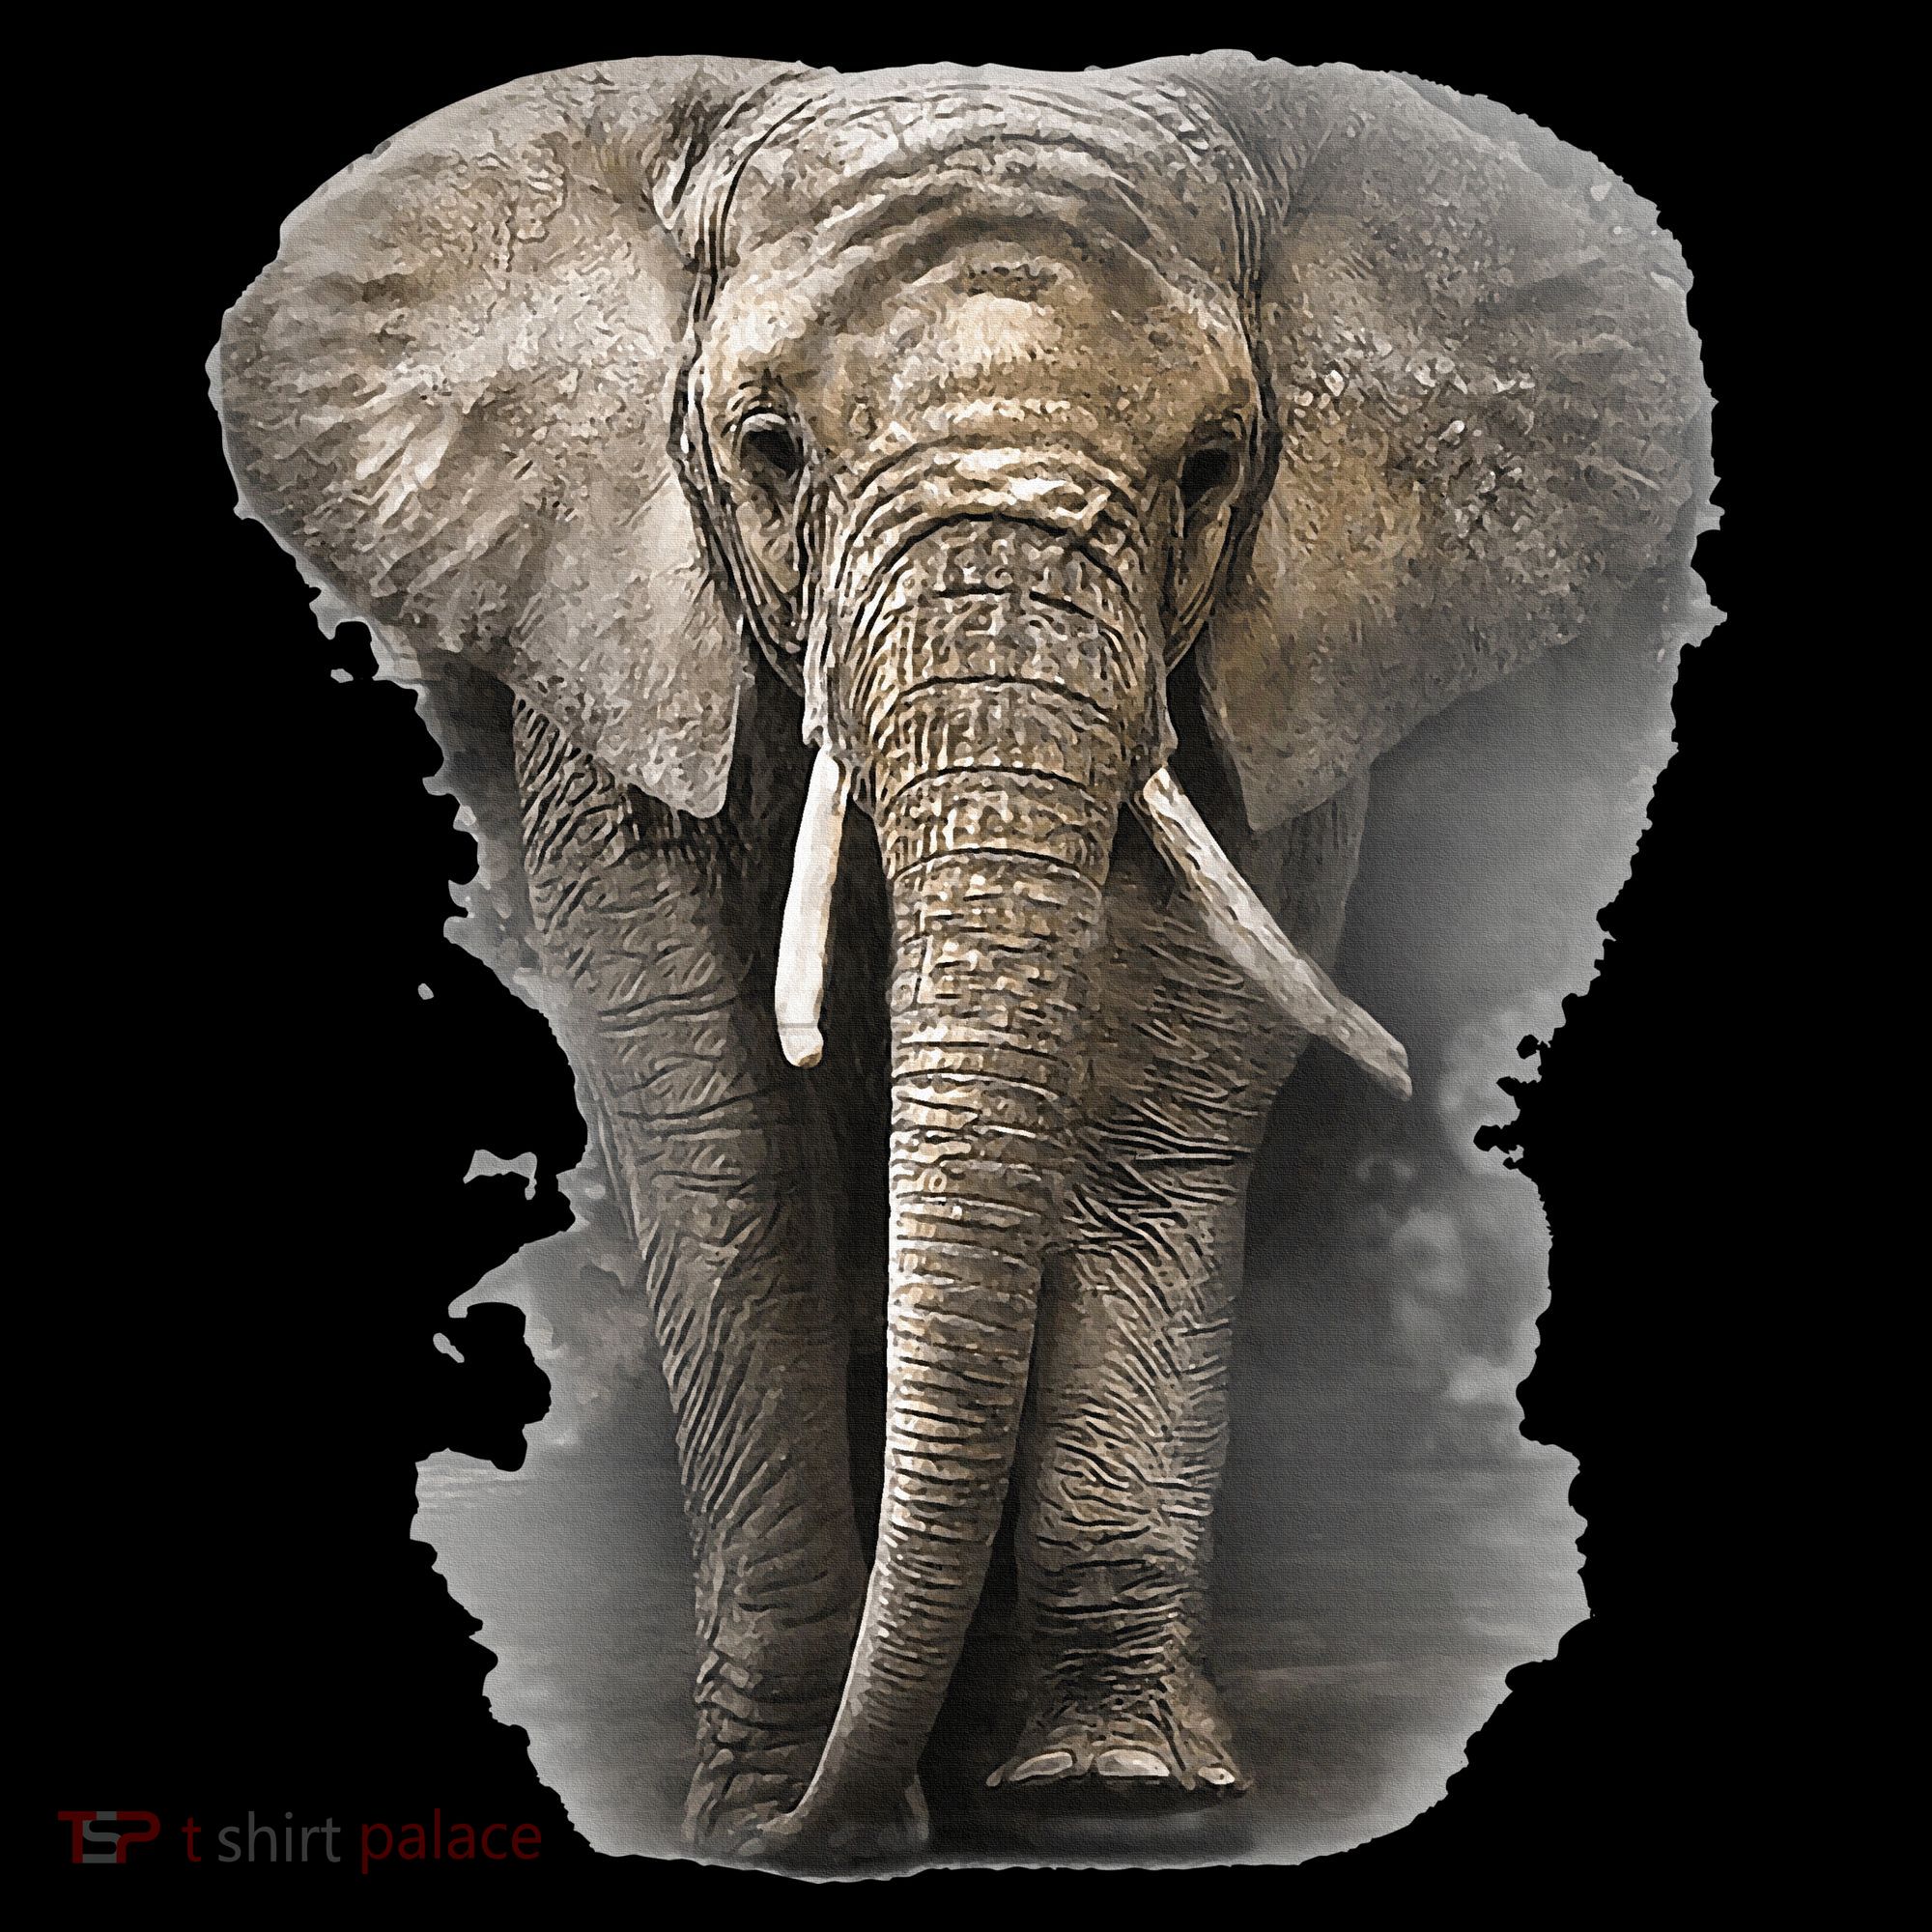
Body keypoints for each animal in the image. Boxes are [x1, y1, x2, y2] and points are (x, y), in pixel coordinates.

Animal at [213, 53, 1709, 1866]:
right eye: (768, 447)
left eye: (1213, 465)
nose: (828, 1834)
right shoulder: (614, 631)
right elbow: (715, 1116)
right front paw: (771, 1804)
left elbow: (1150, 1087)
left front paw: (1124, 1796)